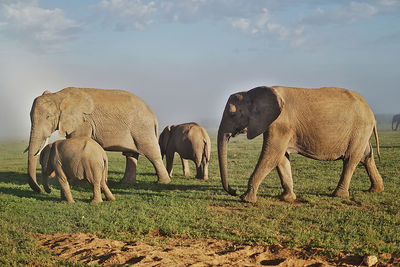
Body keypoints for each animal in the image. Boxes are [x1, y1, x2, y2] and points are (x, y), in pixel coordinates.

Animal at [25, 88, 169, 195]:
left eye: (48, 116)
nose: (42, 190)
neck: (59, 96)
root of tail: (153, 115)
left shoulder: (83, 121)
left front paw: (77, 184)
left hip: (143, 129)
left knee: (152, 153)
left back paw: (162, 183)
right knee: (131, 154)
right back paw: (126, 183)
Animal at [219, 86, 384, 203]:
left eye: (232, 114)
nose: (233, 191)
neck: (251, 92)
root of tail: (371, 111)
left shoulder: (280, 125)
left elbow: (271, 156)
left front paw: (246, 199)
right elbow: (281, 158)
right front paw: (287, 198)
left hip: (359, 128)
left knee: (350, 159)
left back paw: (339, 195)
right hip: (361, 131)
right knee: (366, 156)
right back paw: (376, 190)